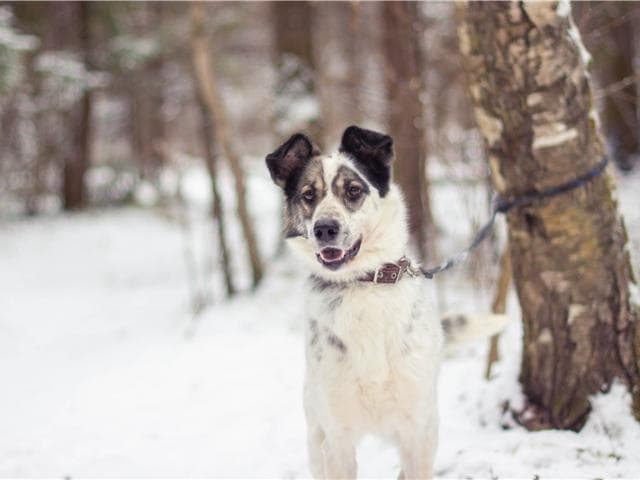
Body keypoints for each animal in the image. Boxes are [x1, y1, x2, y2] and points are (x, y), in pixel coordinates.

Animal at [264, 125, 504, 478]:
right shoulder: (337, 440)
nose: (325, 228)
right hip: (315, 433)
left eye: (353, 190)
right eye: (309, 195)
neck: (366, 283)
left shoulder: (417, 433)